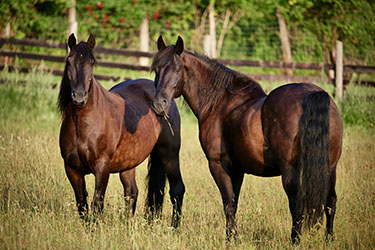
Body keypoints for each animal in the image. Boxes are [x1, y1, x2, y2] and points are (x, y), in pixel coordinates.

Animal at [58, 34, 185, 228]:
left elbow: (97, 203)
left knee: (177, 190)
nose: (79, 96)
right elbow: (82, 204)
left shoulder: (102, 167)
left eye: (92, 62)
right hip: (128, 163)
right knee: (132, 192)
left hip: (169, 155)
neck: (83, 125)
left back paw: (174, 227)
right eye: (69, 61)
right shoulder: (72, 169)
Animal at [151, 36, 344, 242]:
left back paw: (295, 241)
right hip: (330, 167)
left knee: (297, 205)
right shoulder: (237, 169)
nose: (159, 104)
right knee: (331, 202)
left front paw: (230, 240)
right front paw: (232, 237)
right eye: (157, 70)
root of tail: (313, 93)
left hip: (290, 171)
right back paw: (329, 239)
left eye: (177, 69)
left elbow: (228, 203)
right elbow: (234, 203)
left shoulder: (218, 164)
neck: (219, 102)